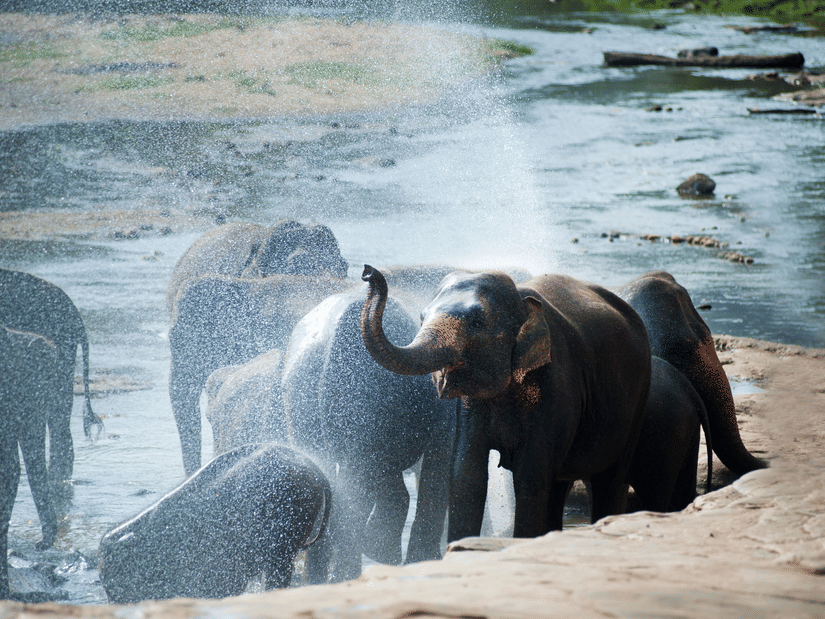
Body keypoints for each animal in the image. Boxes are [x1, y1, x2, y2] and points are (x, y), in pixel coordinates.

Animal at [360, 266, 651, 541]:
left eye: (476, 322)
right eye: (421, 317)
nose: (367, 272)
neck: (521, 298)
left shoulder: (556, 385)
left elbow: (530, 476)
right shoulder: (472, 405)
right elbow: (467, 473)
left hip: (639, 397)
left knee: (609, 480)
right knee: (560, 484)